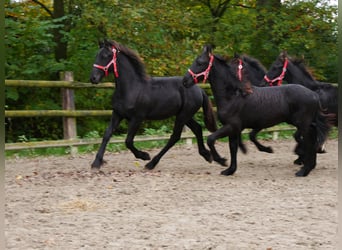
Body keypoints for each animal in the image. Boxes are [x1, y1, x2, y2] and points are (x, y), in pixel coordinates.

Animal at [88, 40, 216, 170]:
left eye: (106, 56)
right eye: (96, 55)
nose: (93, 78)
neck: (131, 88)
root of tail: (199, 89)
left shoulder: (137, 118)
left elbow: (128, 141)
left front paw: (144, 155)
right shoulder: (117, 114)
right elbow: (107, 134)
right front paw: (96, 163)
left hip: (183, 116)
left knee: (175, 136)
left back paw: (151, 163)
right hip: (185, 116)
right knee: (197, 129)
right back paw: (207, 155)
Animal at [184, 45, 332, 178]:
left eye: (200, 63)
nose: (185, 81)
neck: (233, 95)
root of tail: (314, 94)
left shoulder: (232, 126)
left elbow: (211, 139)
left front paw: (220, 160)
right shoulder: (234, 129)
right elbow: (233, 147)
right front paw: (229, 170)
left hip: (303, 124)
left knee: (309, 141)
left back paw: (303, 170)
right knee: (312, 138)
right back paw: (309, 165)